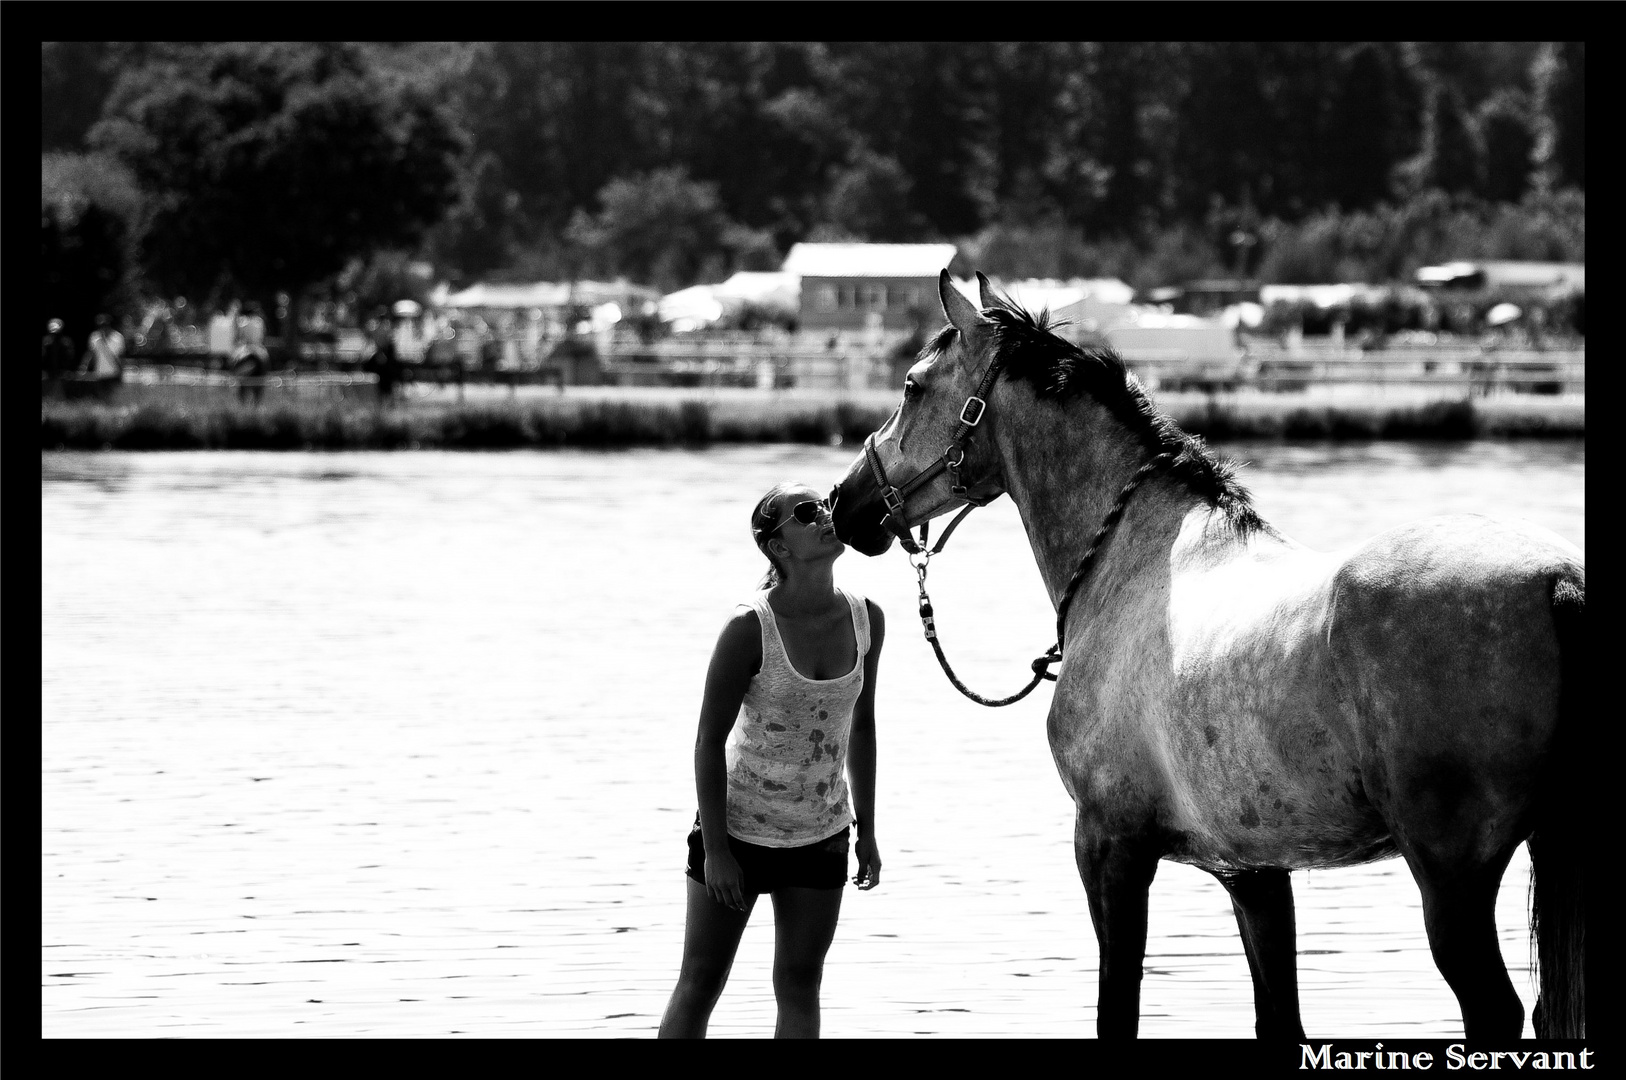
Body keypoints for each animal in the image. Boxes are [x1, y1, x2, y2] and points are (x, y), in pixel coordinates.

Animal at [839, 268, 1586, 1040]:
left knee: (1495, 1008)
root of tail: (1557, 578)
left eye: (913, 385)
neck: (1132, 559)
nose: (844, 503)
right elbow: (1279, 1019)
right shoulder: (1251, 872)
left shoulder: (1108, 846)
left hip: (1450, 874)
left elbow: (1117, 1011)